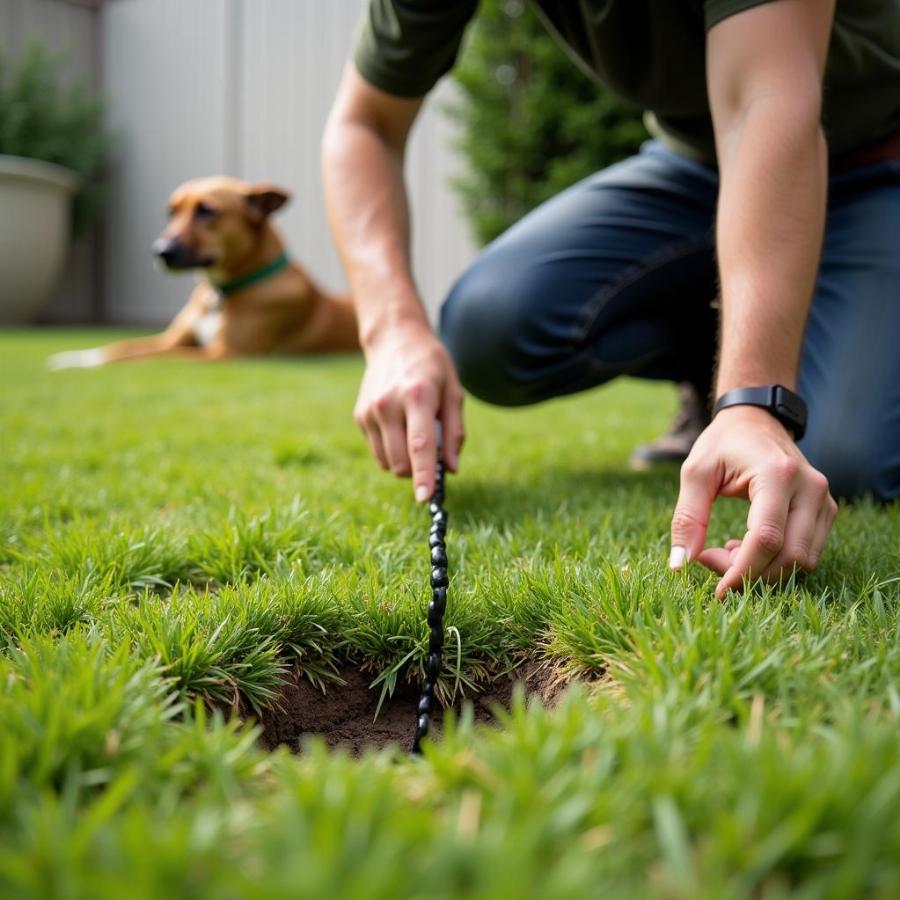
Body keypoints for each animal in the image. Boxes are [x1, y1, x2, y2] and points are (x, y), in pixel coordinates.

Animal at [48, 178, 358, 368]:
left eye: (207, 211)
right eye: (171, 212)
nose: (160, 251)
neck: (219, 294)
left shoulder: (223, 354)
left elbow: (145, 358)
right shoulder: (172, 340)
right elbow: (121, 347)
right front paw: (72, 358)